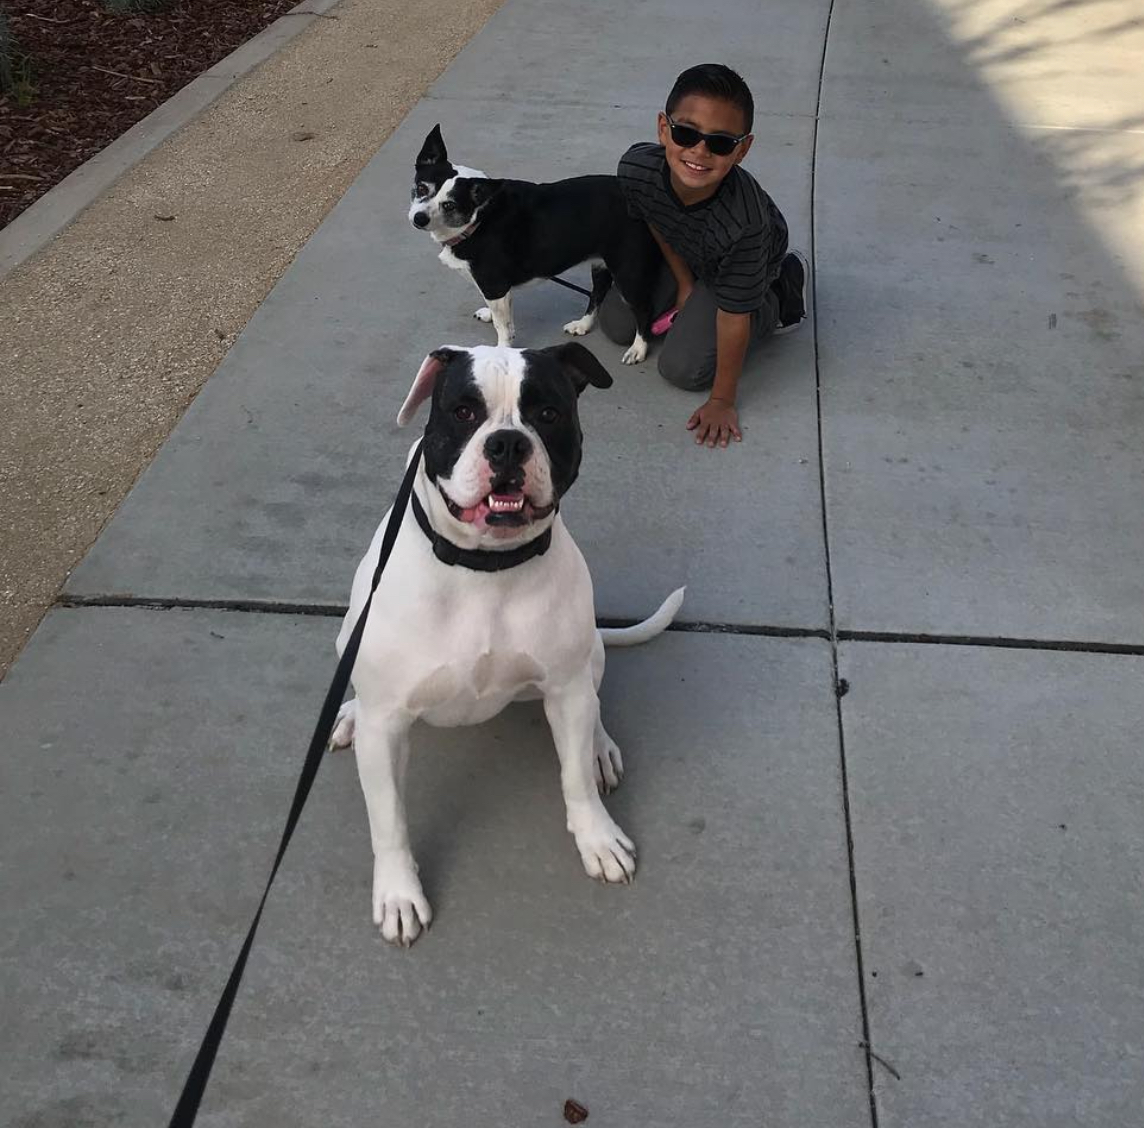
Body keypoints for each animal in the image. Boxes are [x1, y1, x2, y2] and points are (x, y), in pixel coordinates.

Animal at [330, 342, 684, 946]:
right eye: (463, 412)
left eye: (547, 413)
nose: (507, 443)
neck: (484, 566)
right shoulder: (386, 727)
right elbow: (389, 819)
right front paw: (399, 893)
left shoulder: (565, 688)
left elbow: (574, 778)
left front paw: (597, 837)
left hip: (589, 656)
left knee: (593, 706)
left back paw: (599, 748)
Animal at [408, 125, 661, 366]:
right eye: (421, 188)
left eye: (449, 205)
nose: (419, 218)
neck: (479, 217)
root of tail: (636, 199)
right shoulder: (496, 289)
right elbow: (499, 314)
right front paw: (488, 314)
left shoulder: (494, 284)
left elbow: (503, 326)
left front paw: (502, 349)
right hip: (600, 263)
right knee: (598, 292)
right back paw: (583, 324)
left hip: (628, 272)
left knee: (643, 309)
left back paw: (638, 349)